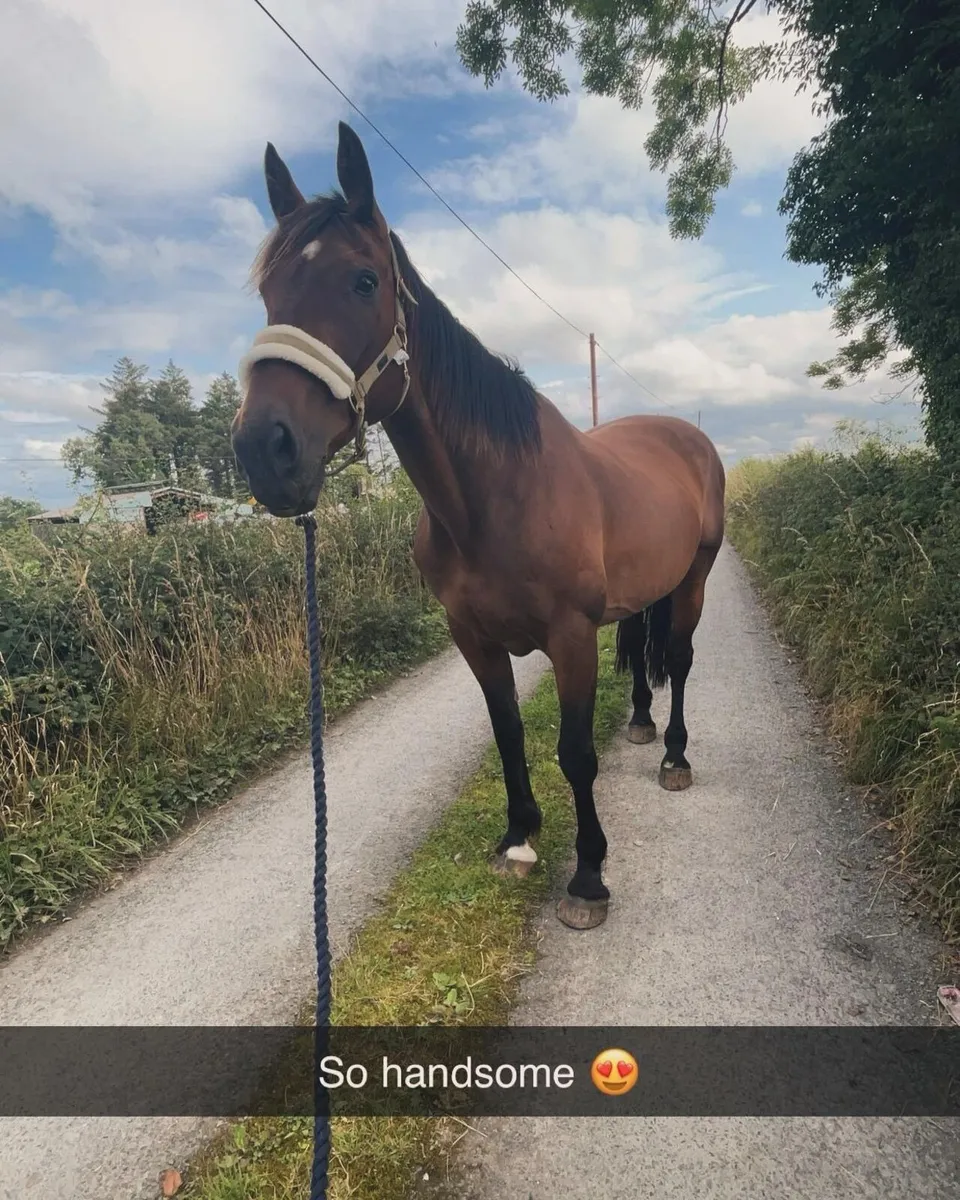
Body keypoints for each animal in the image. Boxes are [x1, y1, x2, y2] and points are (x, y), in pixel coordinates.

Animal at [232, 121, 725, 931]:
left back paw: (675, 757)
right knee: (643, 653)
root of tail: (687, 439)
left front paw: (587, 876)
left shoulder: (569, 638)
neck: (493, 499)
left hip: (695, 579)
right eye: (270, 292)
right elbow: (508, 732)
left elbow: (574, 753)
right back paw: (642, 724)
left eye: (364, 281)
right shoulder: (473, 637)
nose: (263, 451)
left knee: (679, 659)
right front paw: (519, 838)